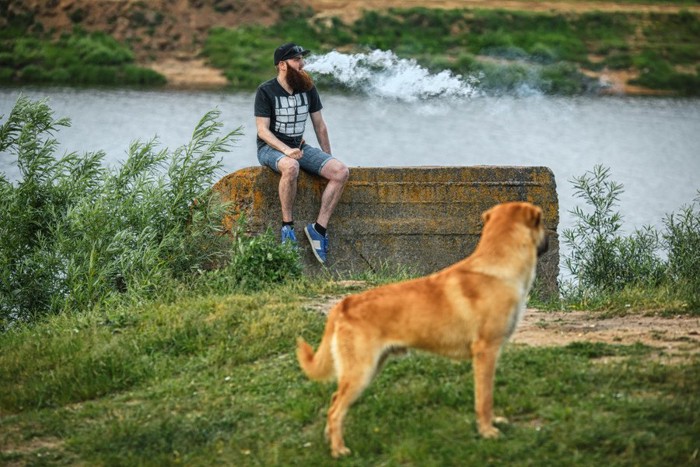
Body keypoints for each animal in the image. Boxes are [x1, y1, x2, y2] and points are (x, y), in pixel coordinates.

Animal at [296, 201, 548, 458]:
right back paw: (339, 450)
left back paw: (330, 439)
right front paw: (487, 431)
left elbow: (487, 395)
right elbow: (484, 398)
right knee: (335, 410)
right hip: (361, 372)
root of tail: (344, 304)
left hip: (368, 368)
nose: (547, 242)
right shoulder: (486, 352)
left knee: (334, 401)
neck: (496, 268)